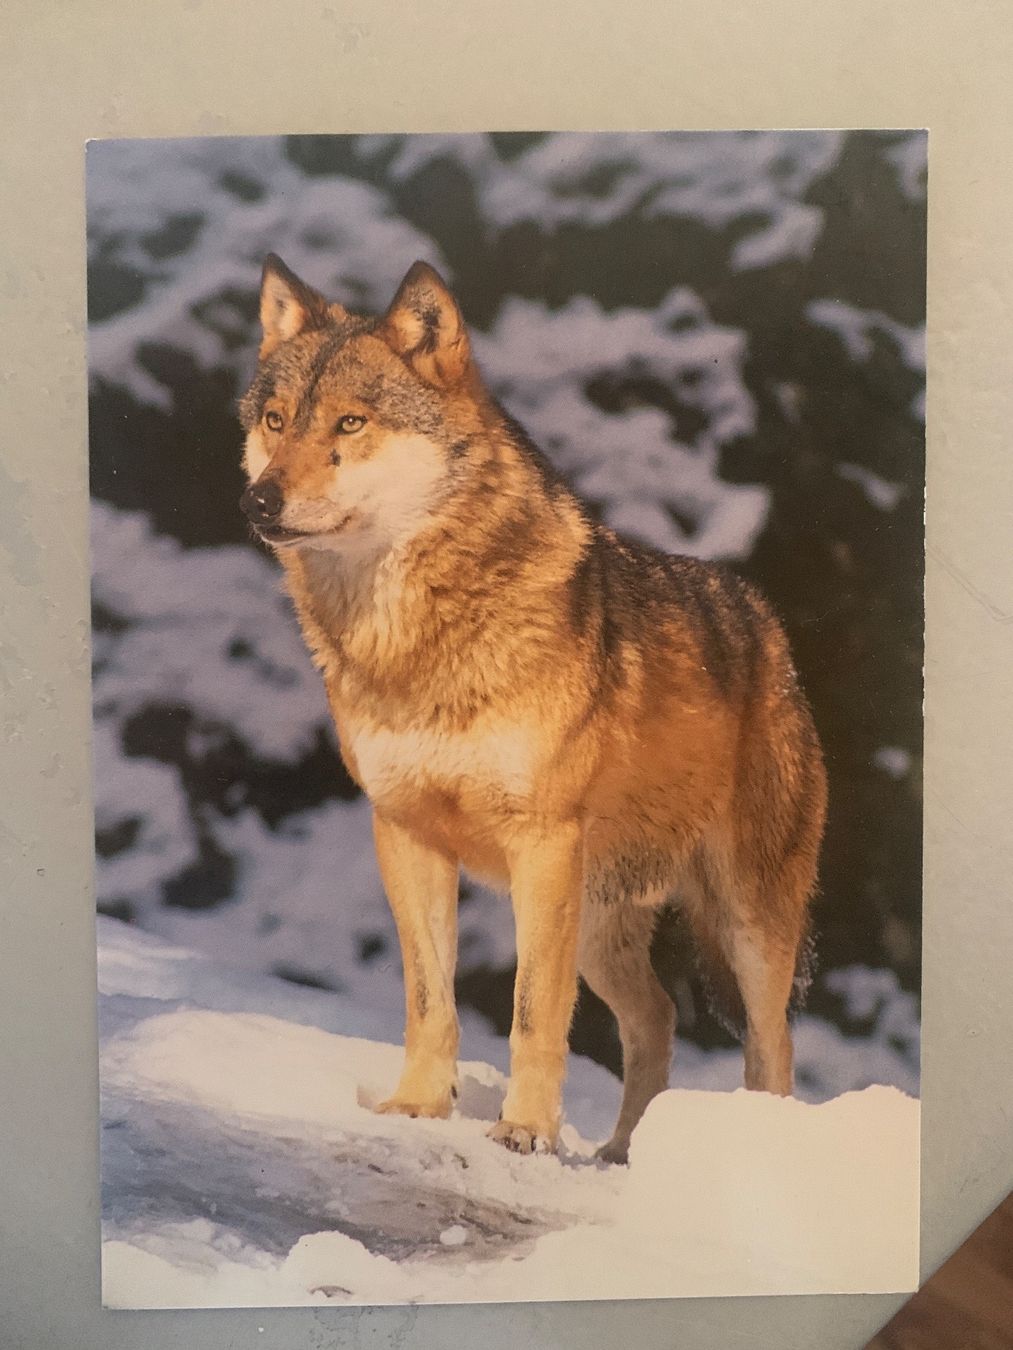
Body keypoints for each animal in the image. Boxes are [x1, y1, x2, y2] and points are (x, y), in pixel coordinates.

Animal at [238, 255, 827, 1162]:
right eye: (275, 421)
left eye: (349, 423)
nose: (261, 502)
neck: (417, 639)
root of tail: (766, 624)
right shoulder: (404, 834)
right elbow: (429, 1001)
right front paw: (417, 1106)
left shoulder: (540, 844)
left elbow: (531, 1013)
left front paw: (523, 1130)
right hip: (599, 923)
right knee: (656, 1017)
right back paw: (621, 1153)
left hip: (745, 925)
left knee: (772, 1051)